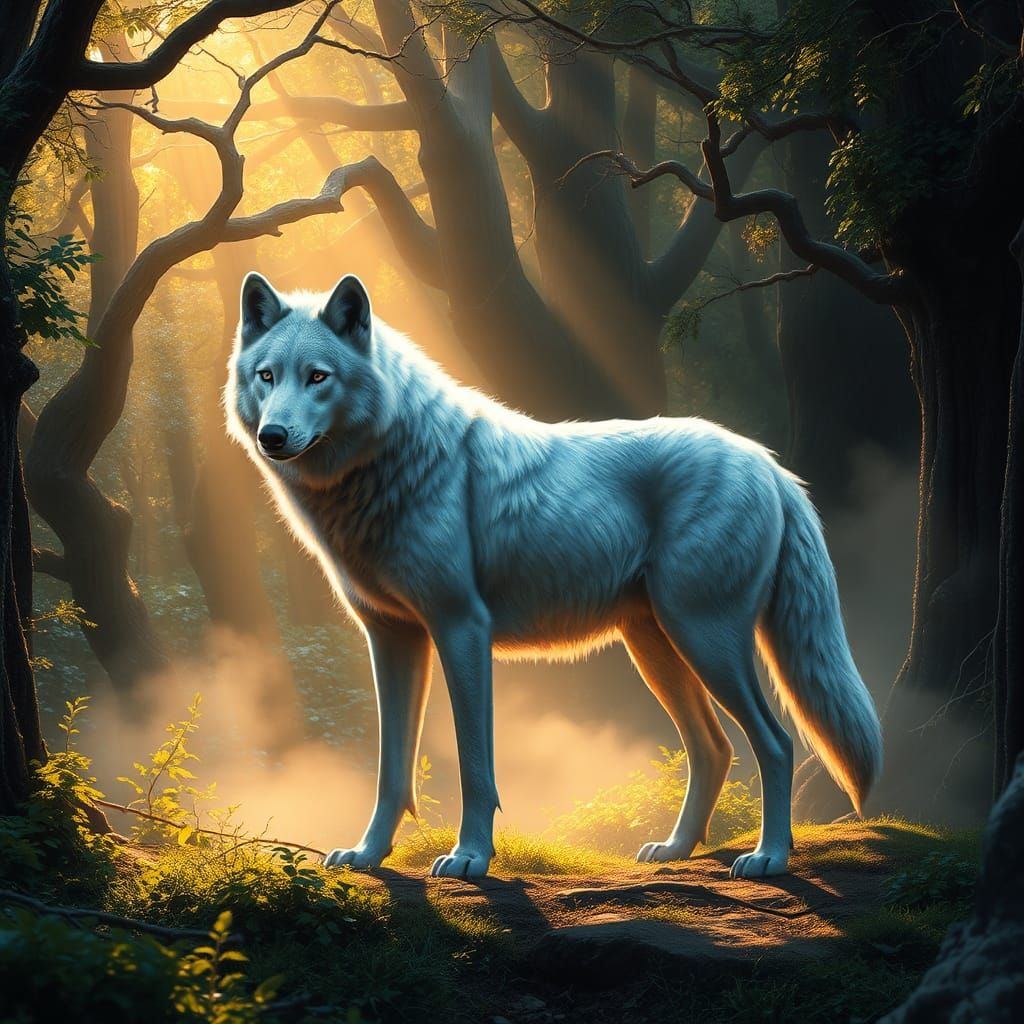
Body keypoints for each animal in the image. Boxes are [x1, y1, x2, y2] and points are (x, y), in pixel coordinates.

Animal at [226, 272, 882, 880]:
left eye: (318, 377)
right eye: (267, 376)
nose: (272, 436)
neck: (390, 463)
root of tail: (769, 464)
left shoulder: (461, 629)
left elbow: (474, 764)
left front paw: (470, 857)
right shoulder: (392, 638)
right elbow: (392, 769)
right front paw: (367, 855)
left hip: (704, 640)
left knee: (775, 742)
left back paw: (770, 857)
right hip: (658, 648)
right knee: (714, 748)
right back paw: (675, 851)